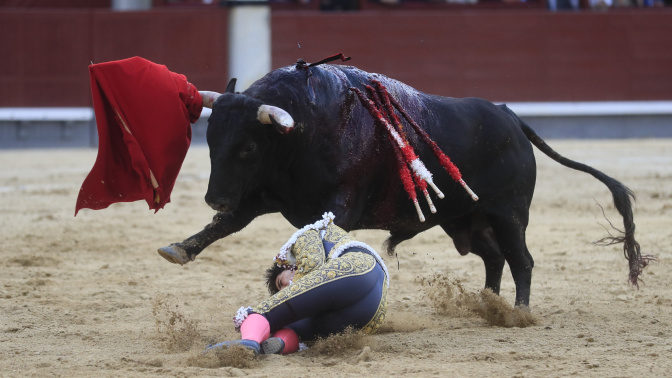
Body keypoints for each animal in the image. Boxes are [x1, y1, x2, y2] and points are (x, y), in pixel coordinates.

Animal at [158, 60, 652, 306]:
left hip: (509, 213)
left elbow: (315, 229)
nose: (214, 196)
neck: (302, 131)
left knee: (522, 260)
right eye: (210, 138)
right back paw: (486, 302)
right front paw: (180, 248)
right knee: (494, 258)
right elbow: (228, 224)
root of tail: (510, 116)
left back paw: (518, 312)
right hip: (465, 220)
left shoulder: (338, 202)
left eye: (247, 147)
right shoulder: (267, 193)